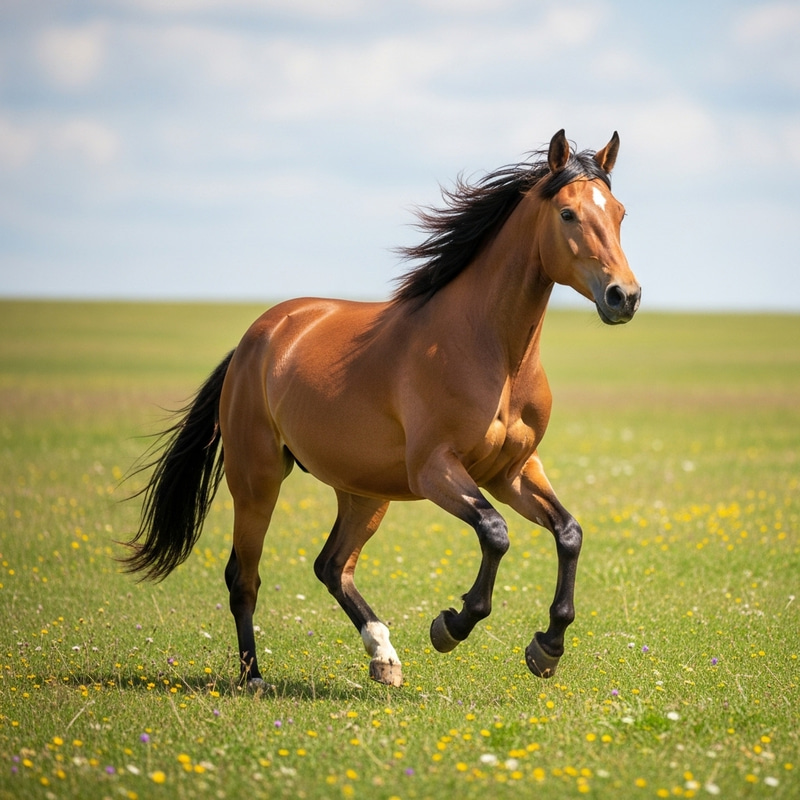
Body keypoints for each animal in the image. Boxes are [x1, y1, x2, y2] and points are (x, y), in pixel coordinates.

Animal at [123, 130, 641, 689]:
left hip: (364, 492)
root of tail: (256, 338)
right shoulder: (434, 470)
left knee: (332, 566)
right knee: (245, 576)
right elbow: (495, 532)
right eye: (567, 214)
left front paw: (547, 647)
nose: (625, 296)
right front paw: (451, 625)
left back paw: (383, 655)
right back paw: (254, 677)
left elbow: (569, 533)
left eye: (619, 212)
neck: (493, 352)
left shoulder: (513, 471)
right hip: (257, 478)